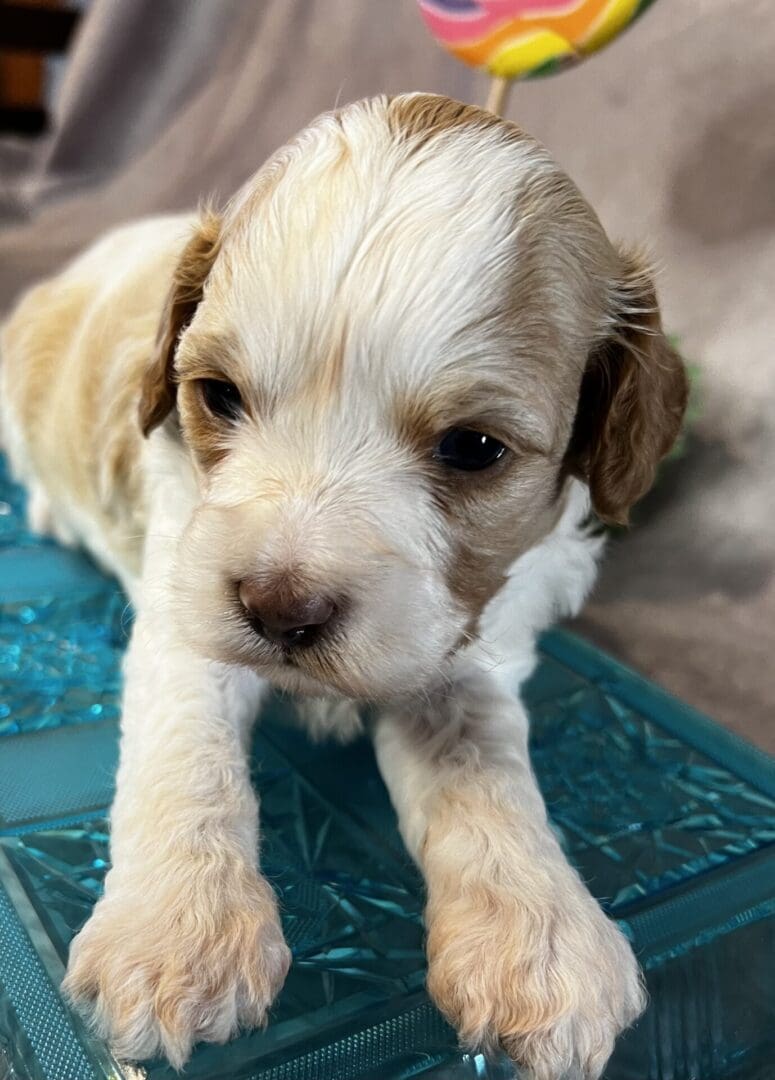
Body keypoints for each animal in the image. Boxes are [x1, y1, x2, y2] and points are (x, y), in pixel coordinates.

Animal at [3, 97, 690, 1075]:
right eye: (217, 396)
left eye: (473, 447)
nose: (279, 610)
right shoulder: (189, 596)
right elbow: (186, 752)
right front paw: (178, 931)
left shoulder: (464, 649)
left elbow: (485, 775)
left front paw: (540, 934)